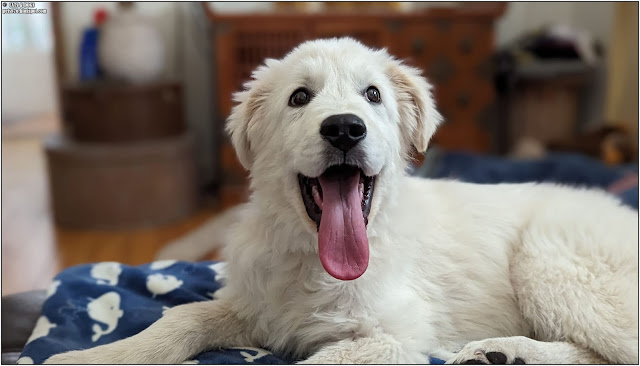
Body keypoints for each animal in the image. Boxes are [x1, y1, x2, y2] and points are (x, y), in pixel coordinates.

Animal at [45, 38, 636, 364]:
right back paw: (502, 353)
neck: (314, 258)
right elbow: (178, 319)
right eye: (299, 98)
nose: (345, 128)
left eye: (373, 95)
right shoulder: (257, 309)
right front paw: (94, 357)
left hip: (551, 266)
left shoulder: (396, 334)